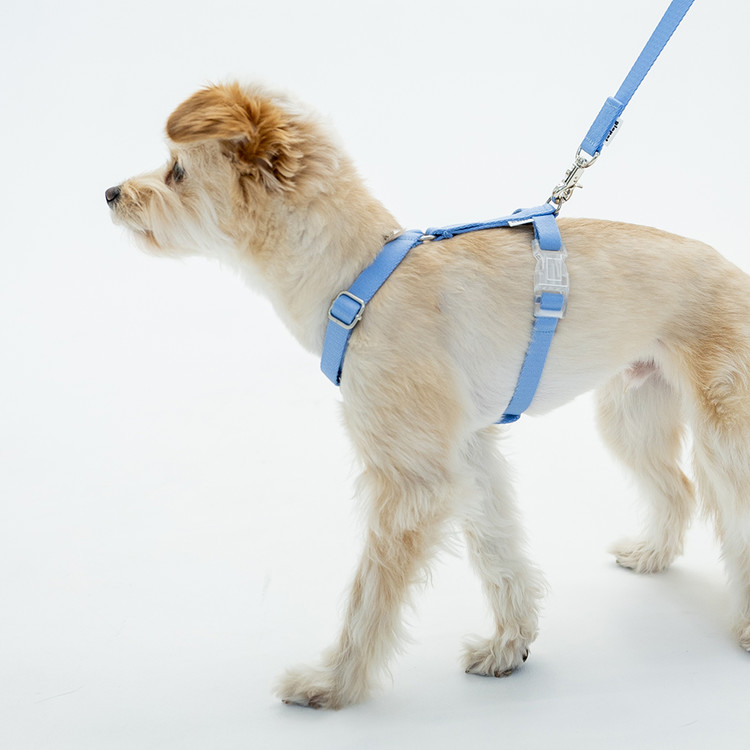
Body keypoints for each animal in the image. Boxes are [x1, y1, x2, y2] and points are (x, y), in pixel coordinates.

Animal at [106, 82, 750, 709]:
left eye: (176, 171)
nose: (110, 192)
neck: (360, 280)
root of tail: (734, 270)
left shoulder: (413, 481)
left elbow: (369, 595)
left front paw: (335, 684)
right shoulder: (469, 455)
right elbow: (499, 551)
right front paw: (509, 645)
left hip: (724, 436)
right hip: (630, 416)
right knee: (680, 487)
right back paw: (653, 554)